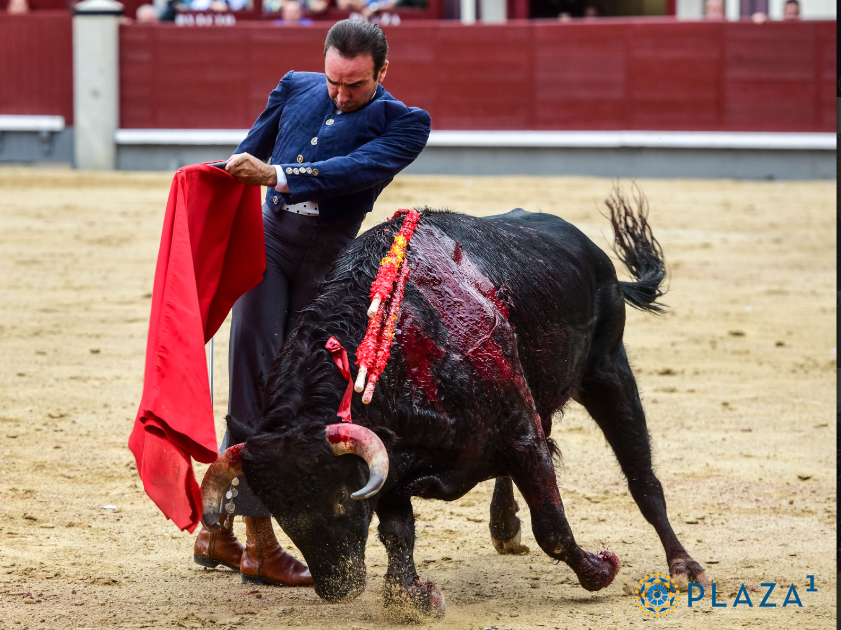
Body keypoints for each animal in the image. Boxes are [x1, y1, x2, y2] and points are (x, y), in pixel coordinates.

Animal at [200, 188, 708, 618]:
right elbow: (397, 532)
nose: (337, 589)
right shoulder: (393, 459)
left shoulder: (518, 432)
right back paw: (504, 527)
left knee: (642, 476)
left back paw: (684, 567)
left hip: (607, 371)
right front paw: (414, 598)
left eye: (342, 500)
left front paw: (601, 569)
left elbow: (552, 525)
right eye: (280, 512)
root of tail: (592, 252)